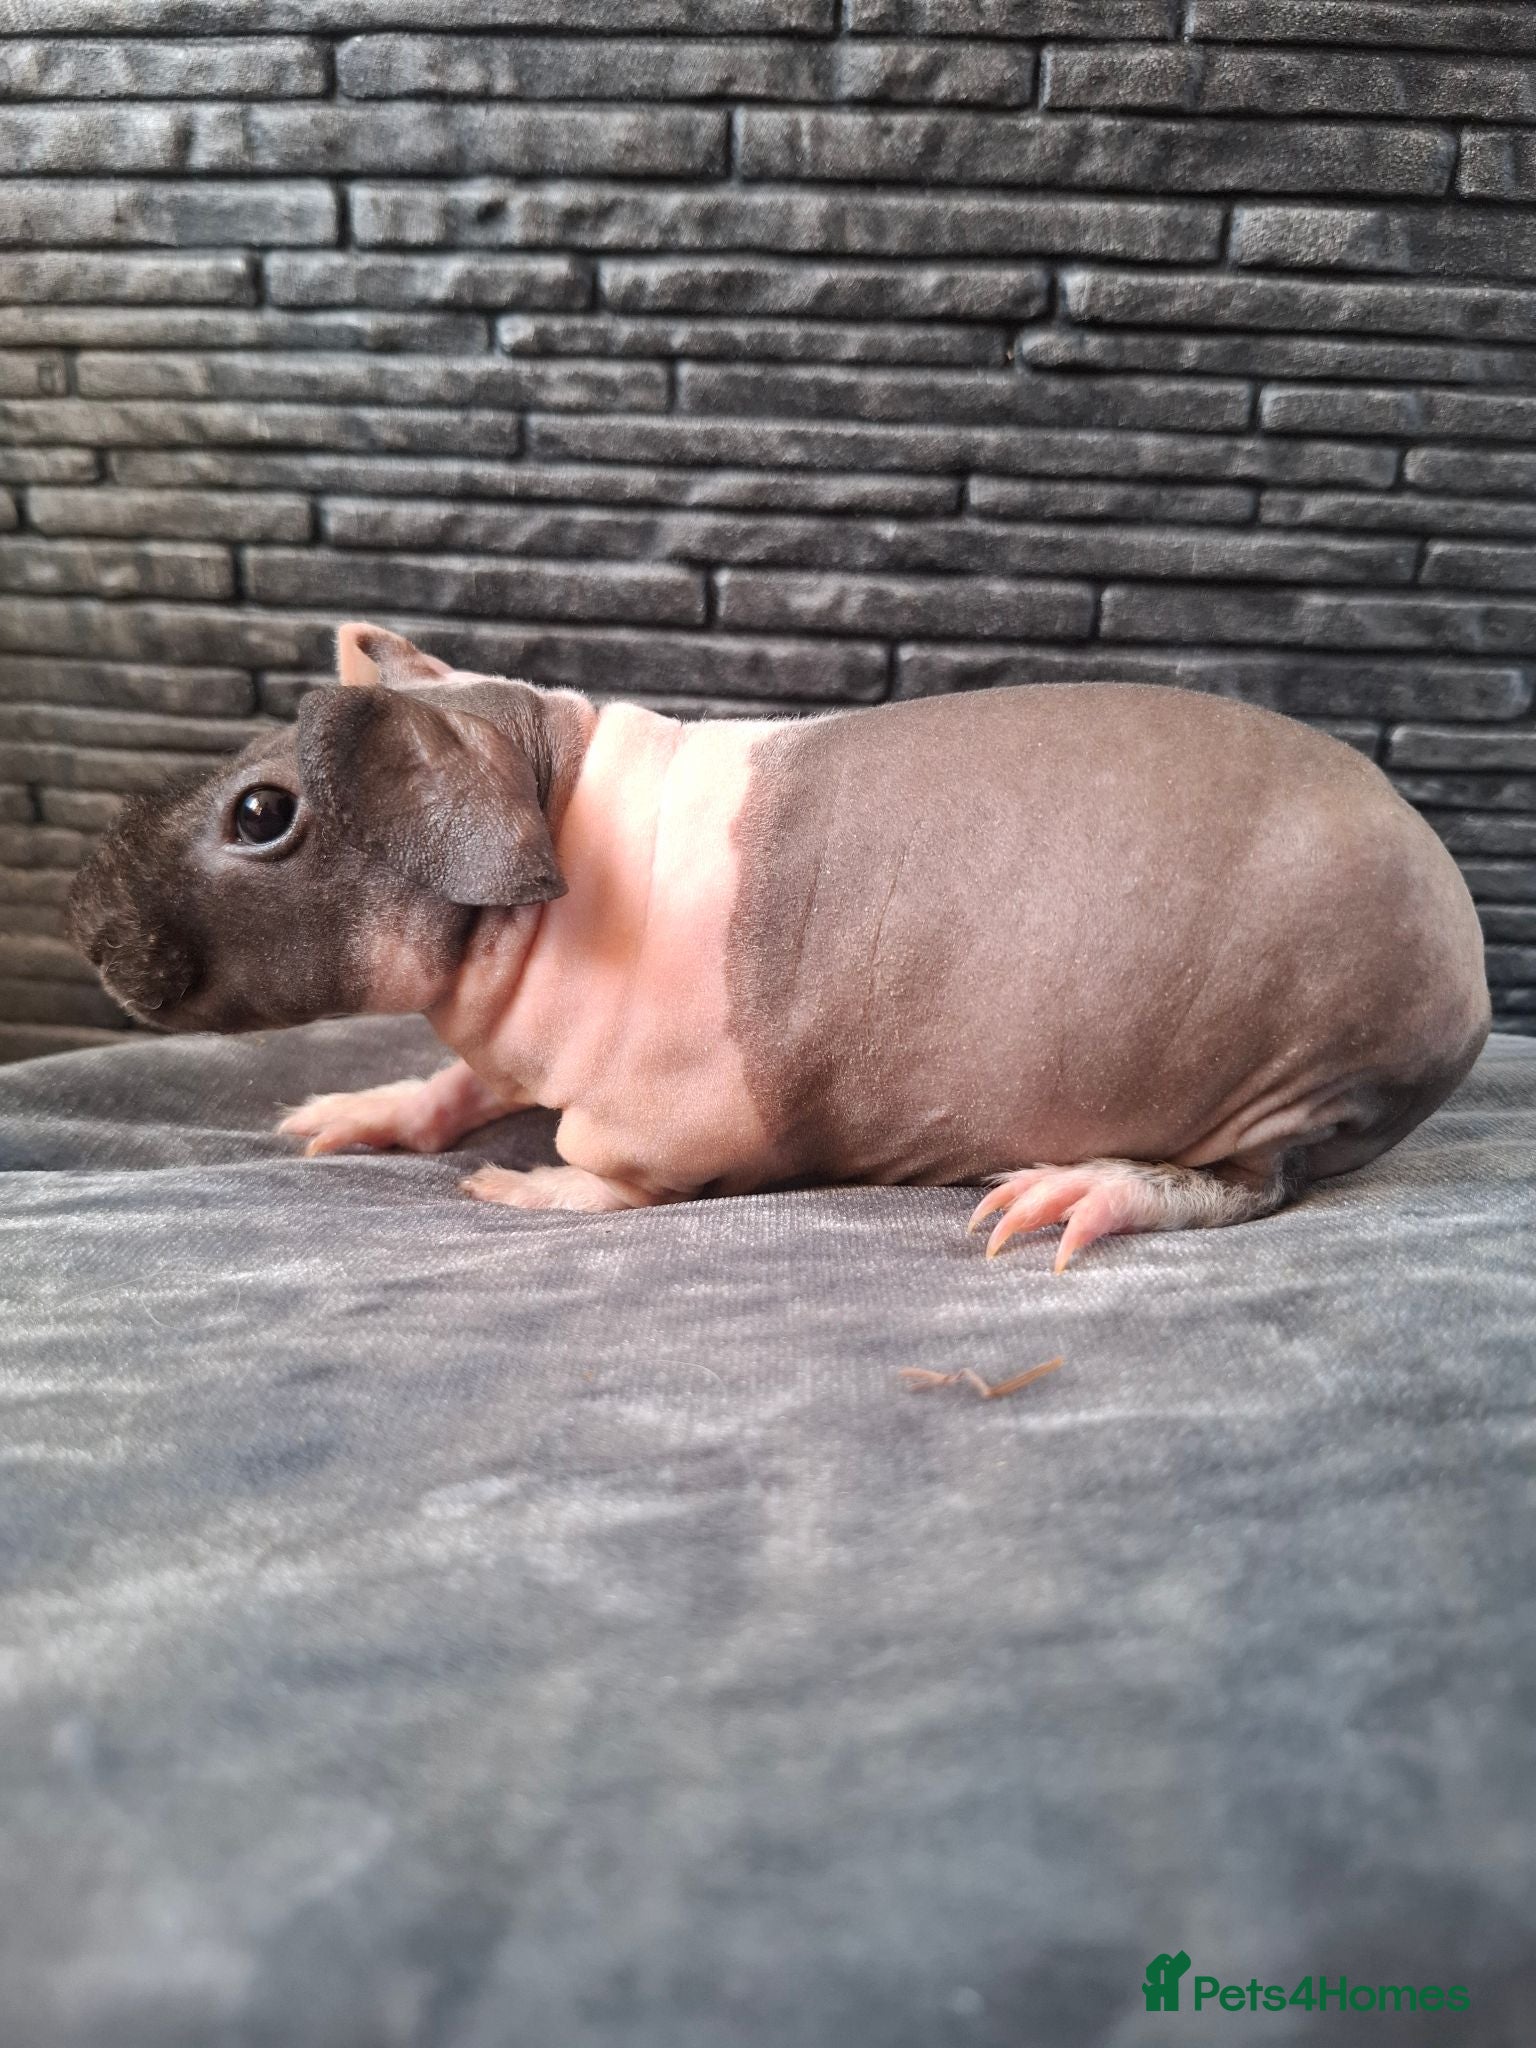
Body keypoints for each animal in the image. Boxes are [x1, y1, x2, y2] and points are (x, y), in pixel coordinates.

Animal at [66, 622, 1490, 1268]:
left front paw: (522, 1185)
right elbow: (462, 1082)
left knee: (1249, 1187)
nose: (77, 915)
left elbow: (610, 1168)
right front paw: (354, 1110)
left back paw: (1074, 1192)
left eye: (260, 814)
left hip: (1288, 1075)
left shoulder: (674, 1114)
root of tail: (1468, 979)